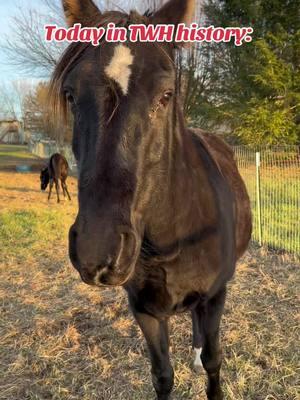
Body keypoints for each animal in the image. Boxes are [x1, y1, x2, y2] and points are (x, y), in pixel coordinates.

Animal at [50, 1, 252, 398]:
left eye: (166, 94)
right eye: (70, 95)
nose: (98, 249)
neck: (174, 239)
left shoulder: (215, 297)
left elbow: (214, 362)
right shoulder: (143, 309)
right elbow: (162, 375)